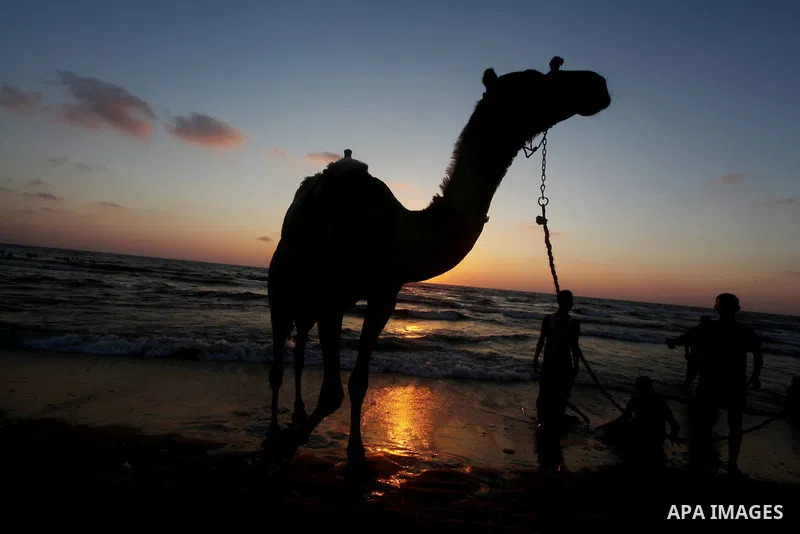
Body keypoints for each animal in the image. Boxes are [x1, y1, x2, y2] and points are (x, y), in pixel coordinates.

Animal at [265, 57, 611, 468]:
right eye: (531, 83)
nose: (597, 84)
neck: (393, 232)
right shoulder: (333, 295)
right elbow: (333, 390)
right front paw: (290, 440)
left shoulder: (383, 296)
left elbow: (358, 382)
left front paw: (357, 453)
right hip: (281, 289)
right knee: (278, 362)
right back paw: (273, 429)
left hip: (307, 304)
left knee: (299, 352)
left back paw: (296, 414)